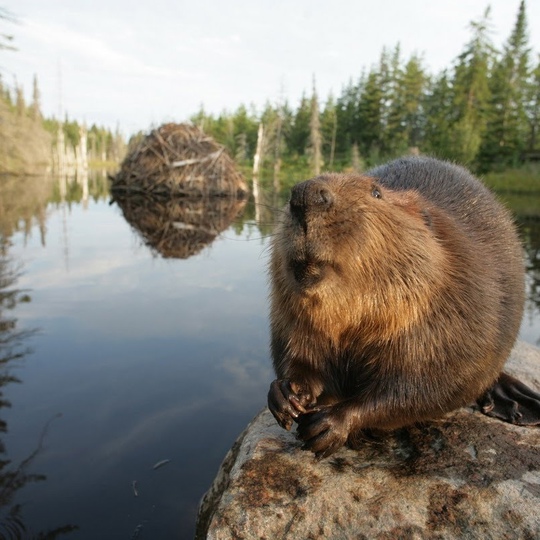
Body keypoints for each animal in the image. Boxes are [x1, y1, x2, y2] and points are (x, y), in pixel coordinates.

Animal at [266, 156, 540, 460]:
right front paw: (286, 394)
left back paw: (519, 404)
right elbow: (297, 354)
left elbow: (424, 386)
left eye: (376, 192)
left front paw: (330, 425)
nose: (305, 194)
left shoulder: (455, 312)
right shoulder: (291, 316)